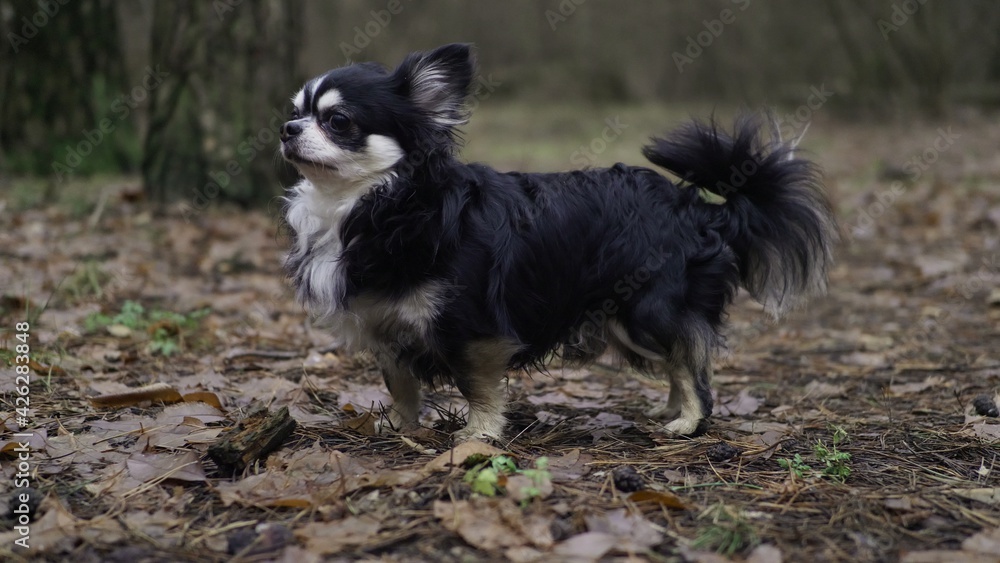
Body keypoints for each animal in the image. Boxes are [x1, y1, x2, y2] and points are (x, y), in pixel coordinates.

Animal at [280, 43, 836, 440]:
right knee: (682, 359)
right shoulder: (385, 326)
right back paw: (671, 409)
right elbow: (399, 382)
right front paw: (400, 425)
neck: (378, 204)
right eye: (296, 111)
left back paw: (690, 421)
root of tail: (698, 207)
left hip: (647, 311)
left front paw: (478, 436)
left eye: (338, 121)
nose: (286, 128)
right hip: (625, 321)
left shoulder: (472, 327)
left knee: (692, 362)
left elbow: (477, 386)